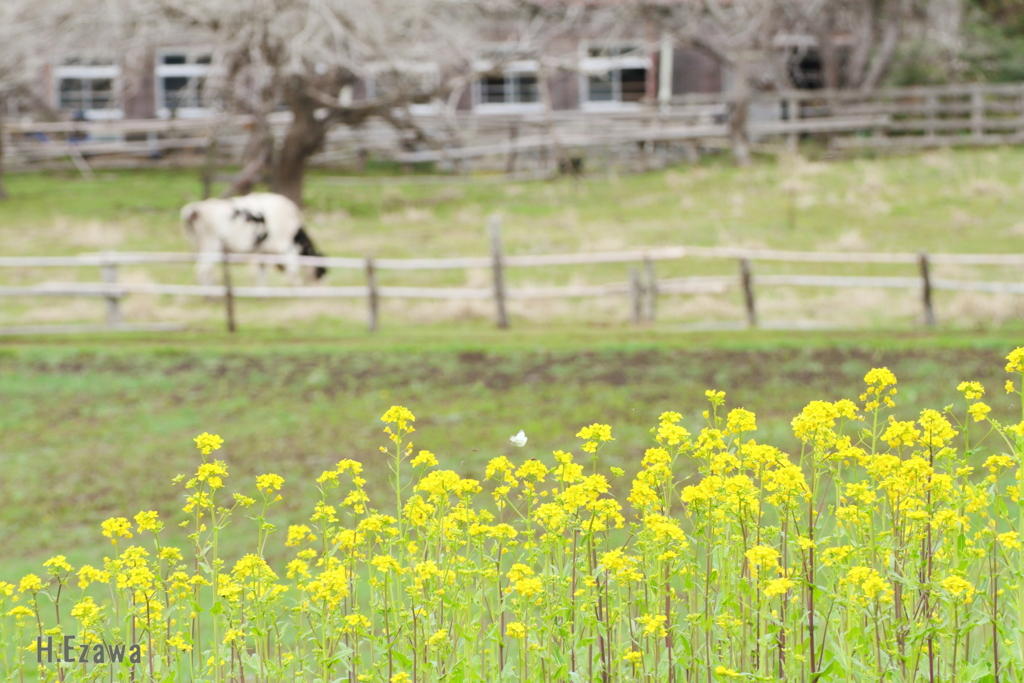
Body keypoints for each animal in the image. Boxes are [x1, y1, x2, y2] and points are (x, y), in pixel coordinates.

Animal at [180, 192, 327, 286]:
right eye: (322, 270)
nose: (321, 287)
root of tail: (196, 209)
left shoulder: (262, 251)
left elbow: (262, 271)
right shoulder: (287, 248)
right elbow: (293, 271)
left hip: (200, 247)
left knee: (206, 270)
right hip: (211, 246)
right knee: (203, 269)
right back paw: (212, 298)